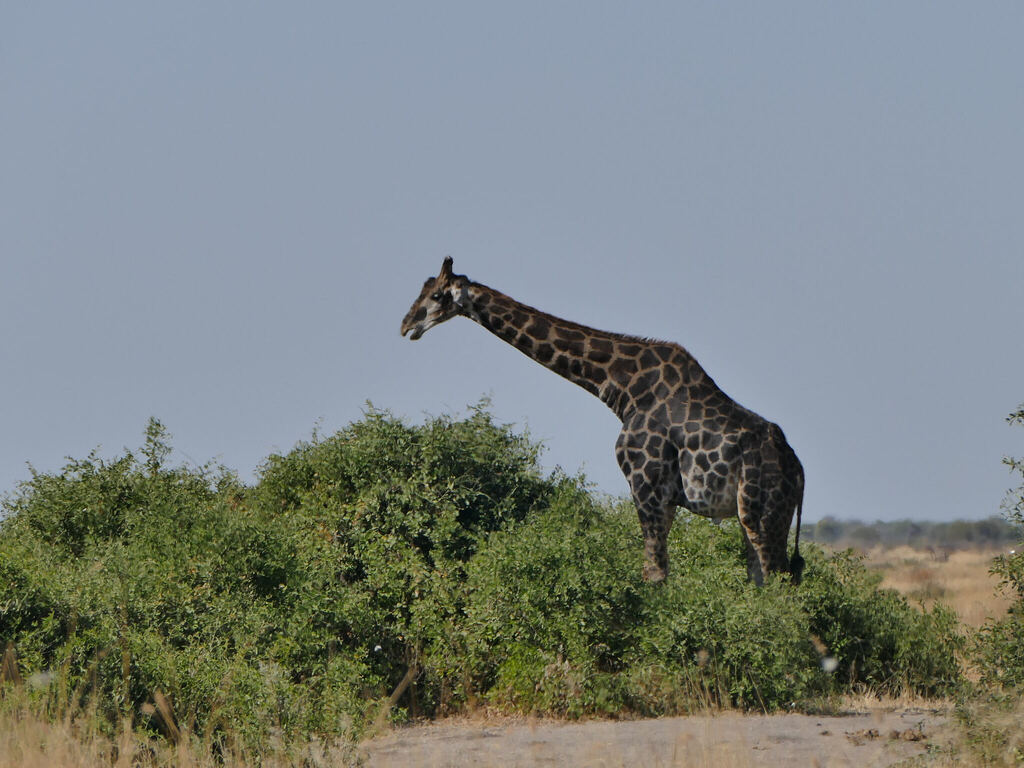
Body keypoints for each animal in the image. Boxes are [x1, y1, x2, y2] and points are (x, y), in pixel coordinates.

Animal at [400, 257, 804, 585]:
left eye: (437, 295)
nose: (405, 326)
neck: (622, 390)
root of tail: (799, 473)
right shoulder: (662, 497)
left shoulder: (647, 486)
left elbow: (654, 573)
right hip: (756, 515)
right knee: (763, 580)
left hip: (760, 513)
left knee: (778, 583)